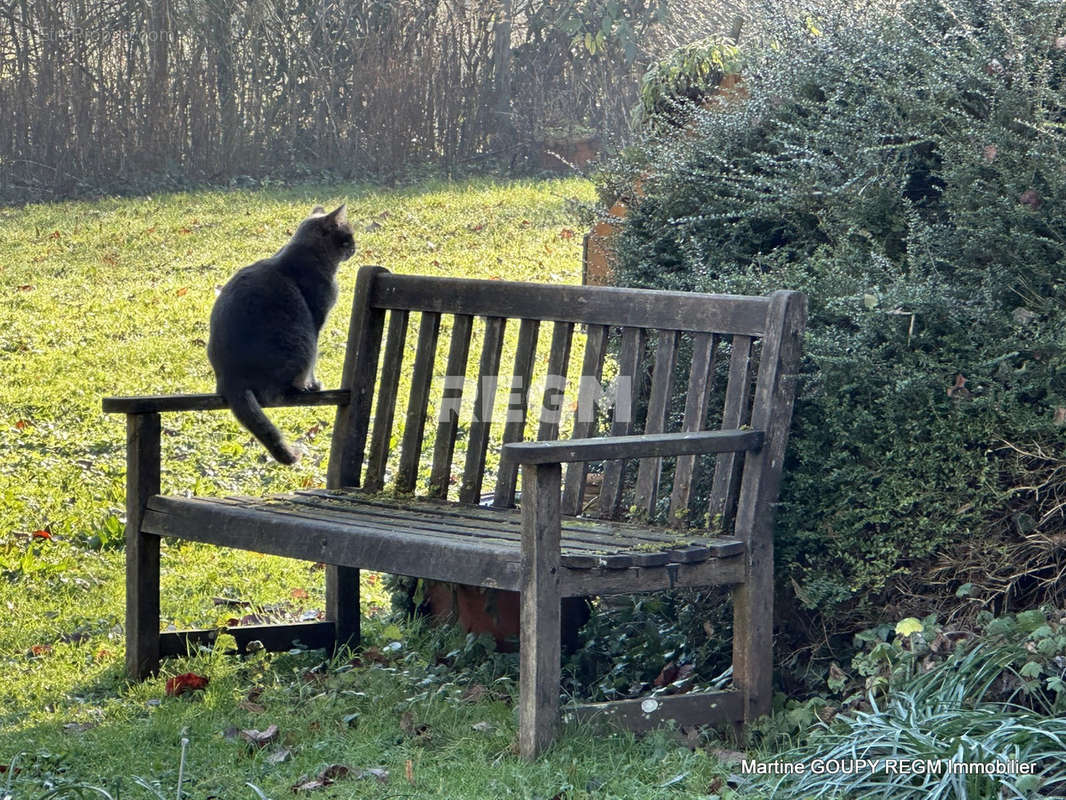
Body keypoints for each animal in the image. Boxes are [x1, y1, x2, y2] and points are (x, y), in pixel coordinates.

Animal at [208, 204, 358, 462]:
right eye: (348, 236)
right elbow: (314, 365)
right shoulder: (316, 321)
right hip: (301, 341)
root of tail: (229, 378)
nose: (356, 247)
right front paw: (313, 384)